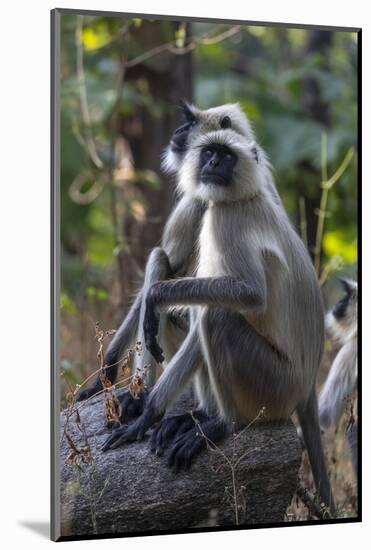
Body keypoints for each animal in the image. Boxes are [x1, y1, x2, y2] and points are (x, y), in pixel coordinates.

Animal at [102, 109, 338, 516]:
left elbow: (248, 294)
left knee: (214, 314)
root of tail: (305, 386)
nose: (211, 164)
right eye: (210, 152)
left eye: (225, 156)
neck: (247, 194)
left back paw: (221, 424)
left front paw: (147, 414)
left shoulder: (221, 216)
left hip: (273, 385)